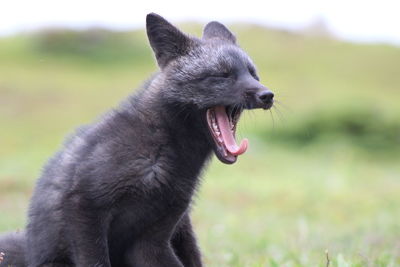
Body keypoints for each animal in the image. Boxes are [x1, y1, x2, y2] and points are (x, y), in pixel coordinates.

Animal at [0, 13, 272, 267]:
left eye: (253, 74)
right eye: (223, 75)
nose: (267, 95)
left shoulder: (152, 237)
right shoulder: (84, 206)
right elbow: (96, 260)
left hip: (184, 234)